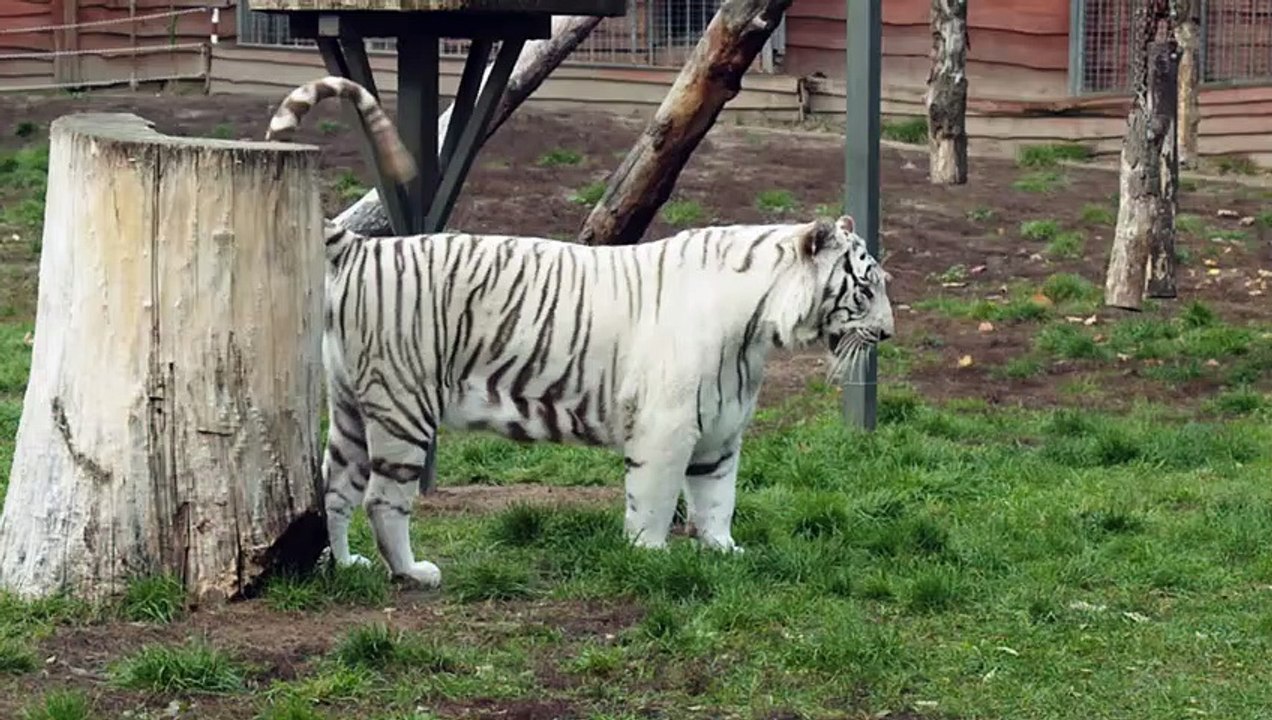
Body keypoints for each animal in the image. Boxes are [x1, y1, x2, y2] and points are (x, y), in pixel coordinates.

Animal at [266, 77, 896, 588]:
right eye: (866, 290)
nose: (888, 334)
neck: (757, 329)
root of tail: (360, 245)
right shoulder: (666, 429)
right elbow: (654, 501)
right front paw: (650, 559)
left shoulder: (719, 432)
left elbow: (718, 498)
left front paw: (725, 553)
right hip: (403, 406)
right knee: (381, 498)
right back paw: (413, 573)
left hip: (351, 406)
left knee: (335, 490)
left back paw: (348, 565)